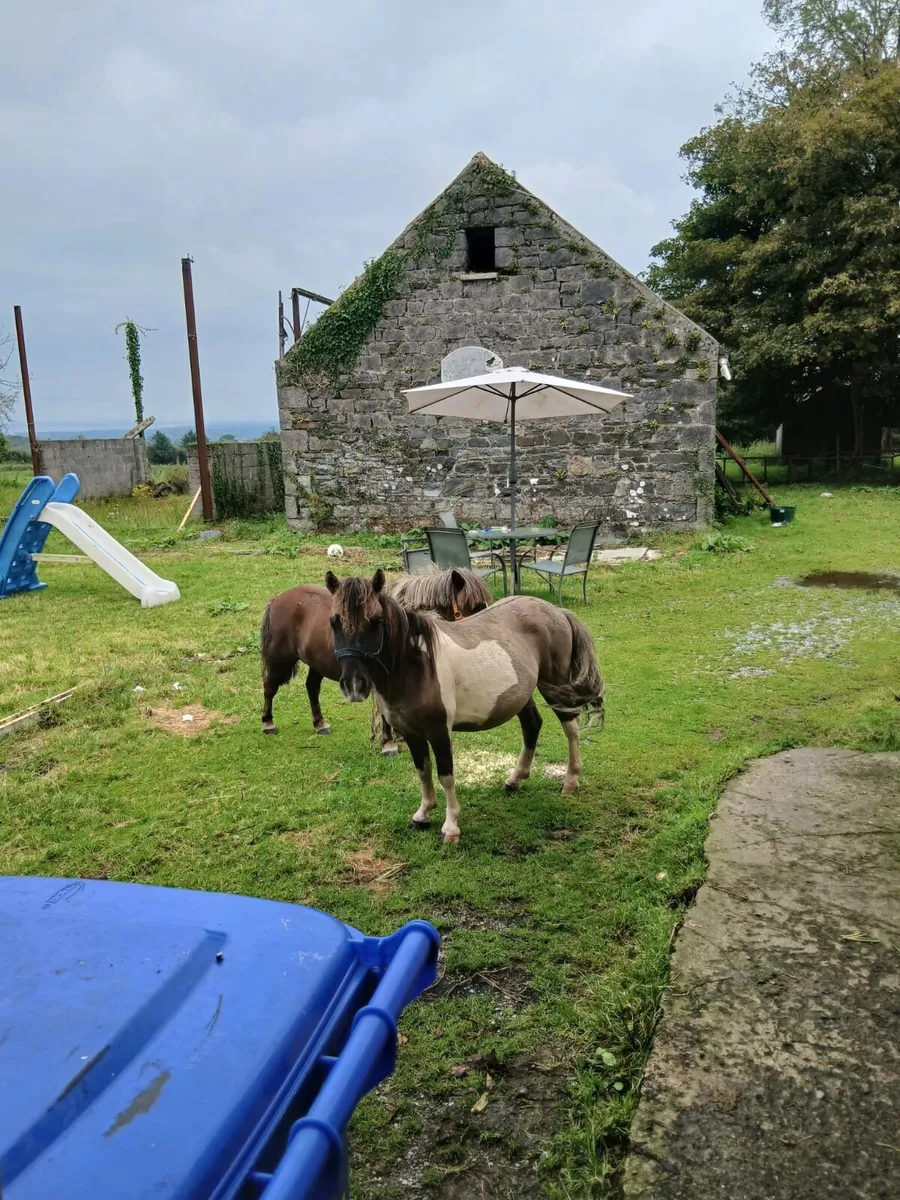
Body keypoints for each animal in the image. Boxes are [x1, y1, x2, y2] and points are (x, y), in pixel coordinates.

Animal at [260, 565, 491, 753]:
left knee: (311, 687)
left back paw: (320, 724)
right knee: (269, 686)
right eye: (475, 607)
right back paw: (268, 723)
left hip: (316, 663)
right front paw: (389, 743)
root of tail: (278, 599)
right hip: (280, 659)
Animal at [325, 569, 605, 842]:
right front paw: (423, 814)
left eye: (376, 621)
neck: (414, 665)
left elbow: (445, 776)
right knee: (532, 725)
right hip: (523, 695)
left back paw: (570, 780)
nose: (354, 685)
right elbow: (423, 771)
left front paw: (450, 827)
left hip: (554, 685)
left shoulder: (439, 731)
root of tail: (557, 611)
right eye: (334, 621)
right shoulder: (411, 733)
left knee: (571, 728)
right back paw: (515, 780)